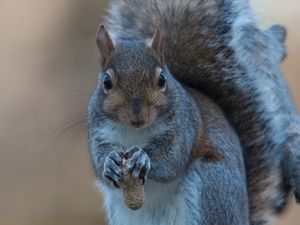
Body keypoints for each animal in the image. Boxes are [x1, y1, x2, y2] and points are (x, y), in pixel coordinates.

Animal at [88, 0, 300, 225]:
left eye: (162, 79)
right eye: (106, 82)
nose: (137, 117)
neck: (136, 132)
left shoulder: (183, 128)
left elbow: (172, 159)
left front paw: (143, 157)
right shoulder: (98, 131)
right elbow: (99, 159)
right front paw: (109, 163)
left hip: (210, 186)